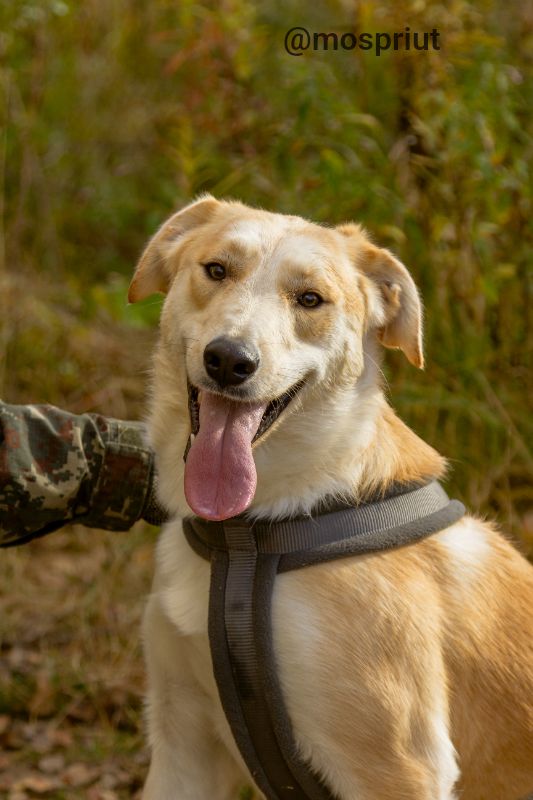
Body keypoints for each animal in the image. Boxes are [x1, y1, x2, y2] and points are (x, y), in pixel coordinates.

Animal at [128, 197, 532, 800]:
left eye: (310, 299)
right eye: (216, 270)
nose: (229, 360)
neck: (250, 538)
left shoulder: (399, 769)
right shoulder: (183, 747)